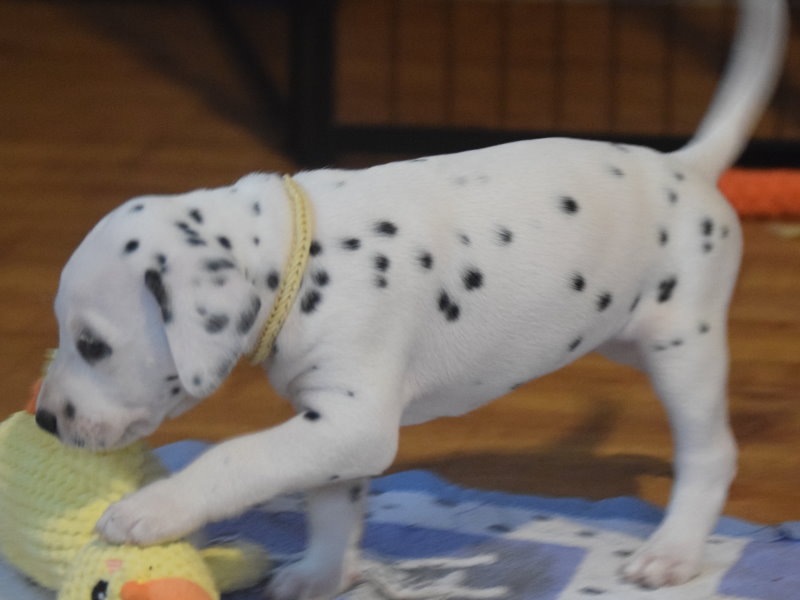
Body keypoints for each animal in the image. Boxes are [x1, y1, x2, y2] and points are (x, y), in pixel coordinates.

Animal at [34, 0, 787, 596]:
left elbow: (240, 455)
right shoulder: (328, 423)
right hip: (628, 336)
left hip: (681, 346)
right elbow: (331, 500)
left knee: (711, 454)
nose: (42, 419)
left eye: (93, 345)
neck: (302, 257)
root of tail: (685, 166)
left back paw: (673, 550)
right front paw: (323, 573)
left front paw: (154, 508)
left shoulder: (353, 419)